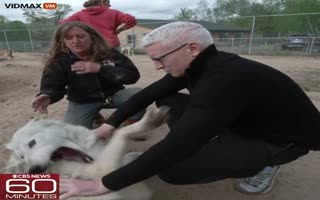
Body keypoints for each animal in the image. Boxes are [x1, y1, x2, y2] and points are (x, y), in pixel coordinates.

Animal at [5, 107, 170, 199]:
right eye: (22, 157)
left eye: (31, 143)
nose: (33, 170)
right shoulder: (104, 171)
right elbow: (121, 133)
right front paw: (150, 120)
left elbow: (130, 157)